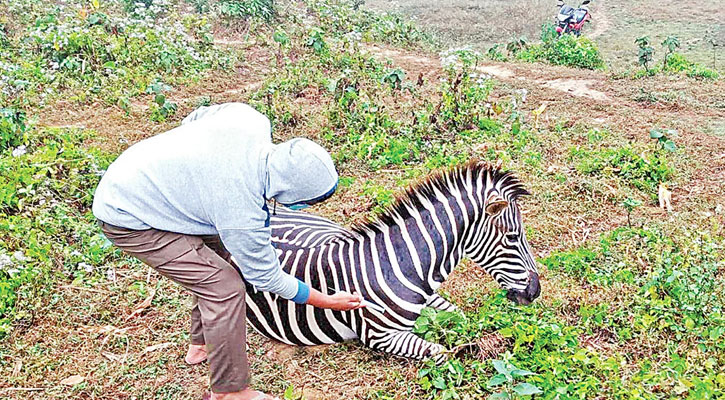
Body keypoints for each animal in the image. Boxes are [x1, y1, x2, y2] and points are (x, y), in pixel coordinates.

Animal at [243, 161, 536, 360]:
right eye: (512, 237)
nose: (535, 292)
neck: (400, 266)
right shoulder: (380, 337)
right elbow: (440, 352)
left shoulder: (431, 298)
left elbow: (459, 315)